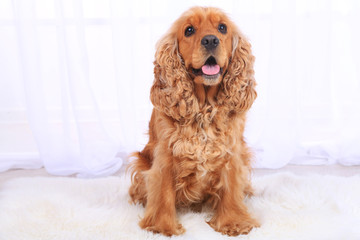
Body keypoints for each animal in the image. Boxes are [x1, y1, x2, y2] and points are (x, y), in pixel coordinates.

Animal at [128, 6, 258, 237]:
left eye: (222, 28)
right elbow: (163, 193)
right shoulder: (165, 155)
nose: (210, 40)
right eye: (189, 30)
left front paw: (234, 222)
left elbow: (231, 189)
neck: (204, 107)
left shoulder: (232, 152)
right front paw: (162, 227)